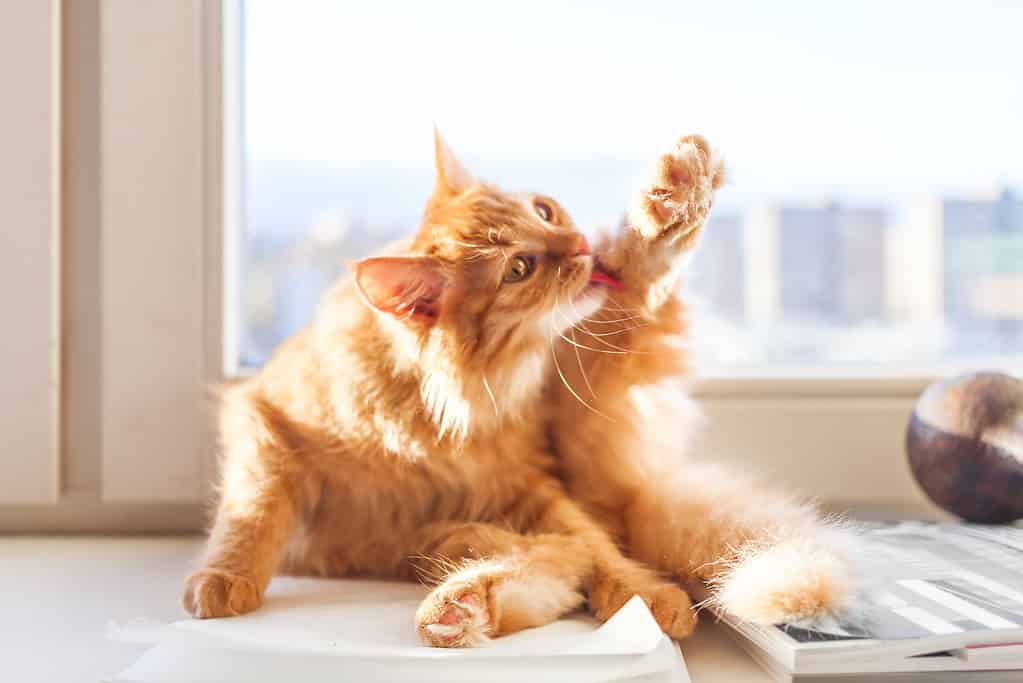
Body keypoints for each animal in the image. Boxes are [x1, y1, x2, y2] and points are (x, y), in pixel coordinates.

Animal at [186, 131, 855, 646]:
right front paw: (223, 579)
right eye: (519, 269)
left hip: (594, 381)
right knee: (547, 565)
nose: (580, 246)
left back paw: (674, 195)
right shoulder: (266, 421)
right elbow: (253, 513)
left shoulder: (529, 484)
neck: (430, 414)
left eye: (545, 212)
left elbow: (596, 548)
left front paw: (642, 593)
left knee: (643, 284)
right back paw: (463, 604)